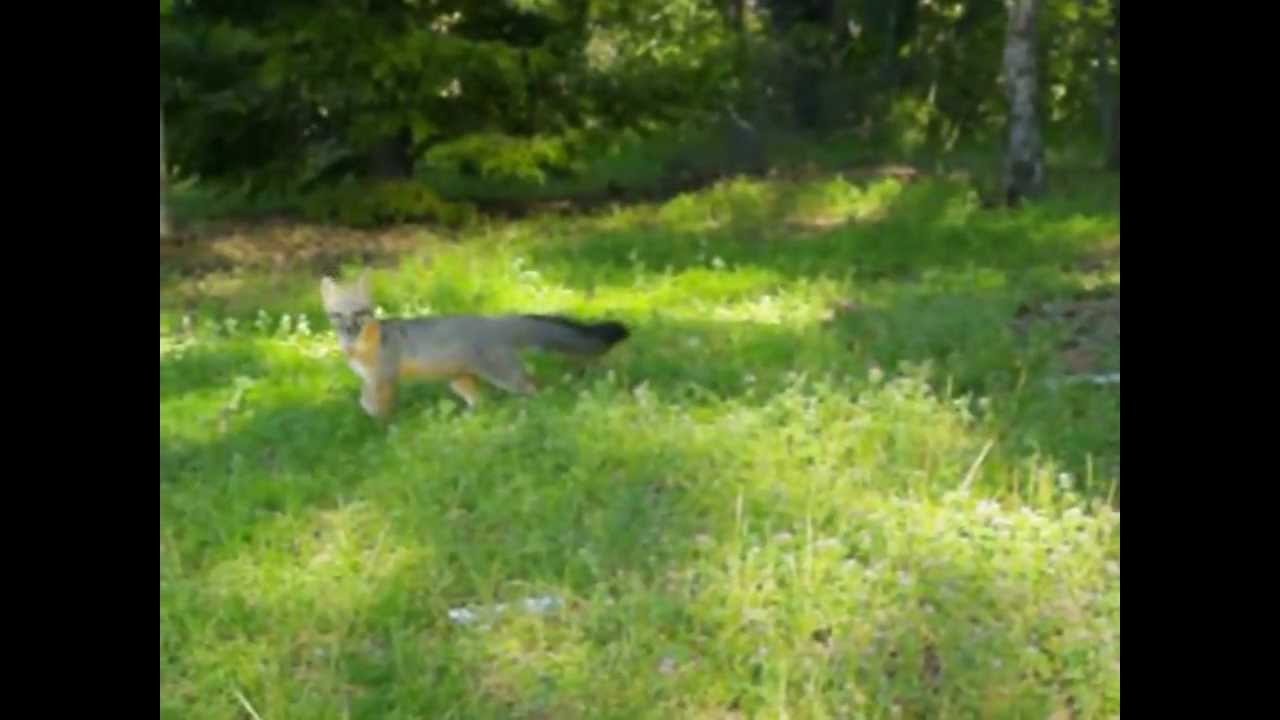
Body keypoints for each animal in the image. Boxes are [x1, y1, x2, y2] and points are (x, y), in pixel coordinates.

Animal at [320, 270, 629, 418]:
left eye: (359, 313)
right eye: (338, 315)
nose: (349, 329)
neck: (360, 348)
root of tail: (492, 321)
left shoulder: (384, 378)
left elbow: (379, 409)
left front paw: (383, 427)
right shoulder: (369, 380)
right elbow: (364, 400)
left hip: (505, 377)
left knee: (535, 386)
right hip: (461, 382)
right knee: (481, 403)